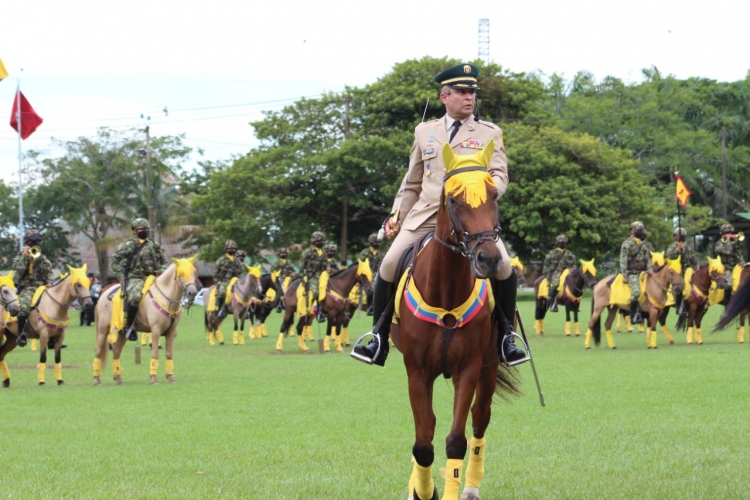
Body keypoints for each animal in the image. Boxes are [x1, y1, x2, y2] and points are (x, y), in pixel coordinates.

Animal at [93, 256, 200, 384]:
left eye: (193, 272)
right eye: (181, 273)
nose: (192, 292)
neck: (166, 299)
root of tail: (104, 294)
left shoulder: (171, 333)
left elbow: (169, 354)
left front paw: (170, 377)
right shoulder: (156, 331)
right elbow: (155, 354)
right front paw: (153, 378)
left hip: (123, 333)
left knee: (116, 351)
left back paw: (118, 378)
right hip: (103, 330)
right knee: (98, 351)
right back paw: (97, 380)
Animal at [384, 141, 520, 500]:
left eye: (493, 195)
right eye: (454, 199)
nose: (488, 259)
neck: (445, 292)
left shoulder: (468, 368)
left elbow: (457, 440)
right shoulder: (417, 370)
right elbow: (423, 443)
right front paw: (423, 490)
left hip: (489, 367)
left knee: (480, 419)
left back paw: (470, 487)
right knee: (428, 429)